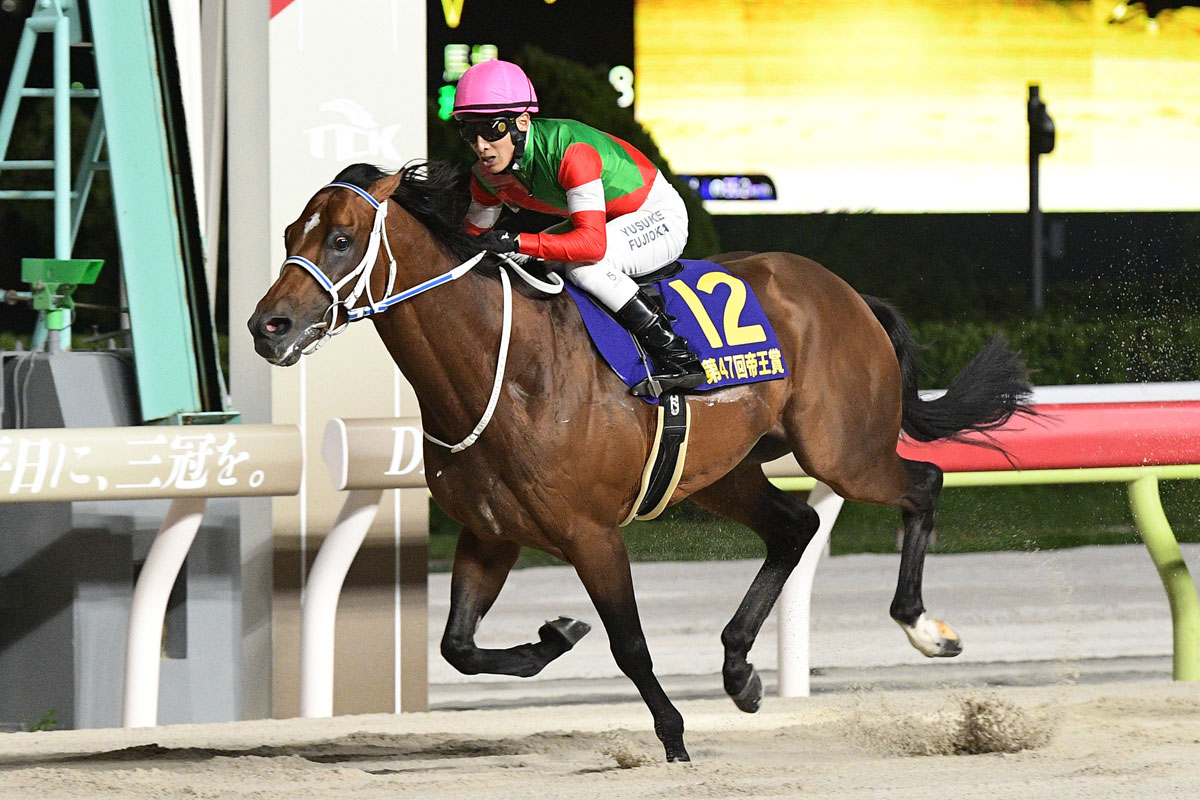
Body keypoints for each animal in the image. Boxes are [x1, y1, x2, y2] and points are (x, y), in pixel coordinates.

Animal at [249, 161, 1033, 762]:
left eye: (342, 238)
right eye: (289, 234)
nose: (267, 326)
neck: (509, 370)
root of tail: (847, 292)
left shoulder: (590, 534)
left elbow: (628, 644)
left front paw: (674, 737)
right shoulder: (491, 531)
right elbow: (457, 646)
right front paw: (553, 637)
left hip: (843, 449)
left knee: (922, 482)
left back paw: (925, 627)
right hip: (724, 472)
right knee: (795, 528)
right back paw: (740, 668)